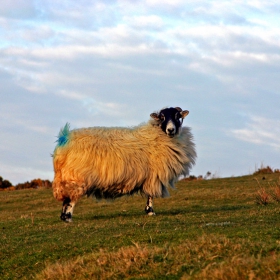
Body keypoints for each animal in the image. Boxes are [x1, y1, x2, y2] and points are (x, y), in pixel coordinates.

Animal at [53, 106, 197, 222]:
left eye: (177, 116)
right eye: (162, 117)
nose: (171, 130)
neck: (157, 135)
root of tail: (64, 140)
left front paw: (148, 211)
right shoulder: (153, 176)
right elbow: (150, 195)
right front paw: (150, 211)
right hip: (75, 177)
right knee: (70, 200)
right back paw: (68, 218)